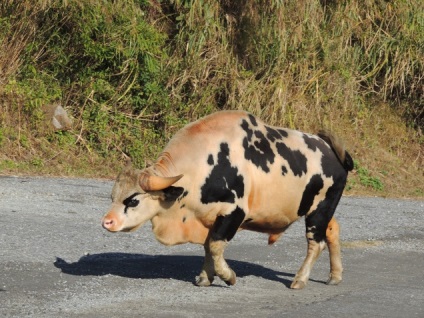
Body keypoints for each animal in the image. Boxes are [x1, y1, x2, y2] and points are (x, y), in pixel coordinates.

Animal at [102, 110, 354, 290]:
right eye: (113, 196)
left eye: (133, 200)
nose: (107, 222)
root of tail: (331, 150)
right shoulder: (207, 219)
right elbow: (207, 246)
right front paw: (205, 277)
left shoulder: (233, 213)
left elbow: (215, 245)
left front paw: (228, 276)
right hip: (320, 211)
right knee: (332, 231)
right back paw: (335, 275)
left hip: (319, 211)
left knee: (315, 243)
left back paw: (300, 279)